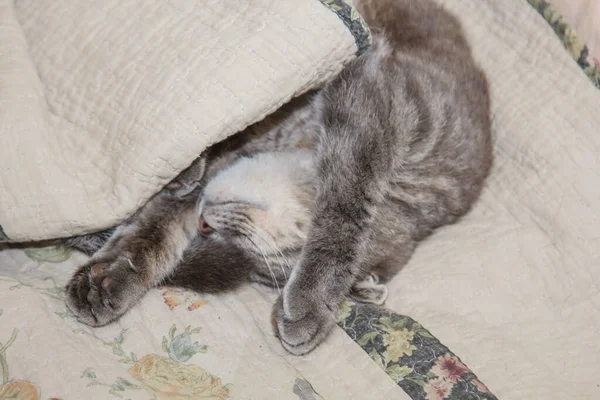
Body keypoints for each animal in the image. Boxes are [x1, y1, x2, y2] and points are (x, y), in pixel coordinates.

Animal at [63, 0, 492, 356]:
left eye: (254, 256)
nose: (205, 222)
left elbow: (154, 232)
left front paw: (108, 278)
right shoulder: (372, 101)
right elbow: (343, 213)